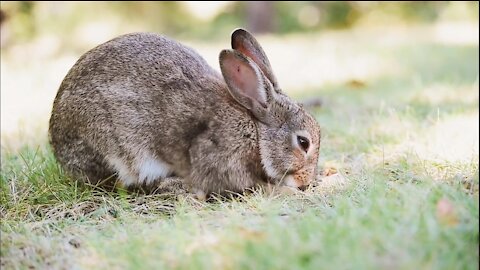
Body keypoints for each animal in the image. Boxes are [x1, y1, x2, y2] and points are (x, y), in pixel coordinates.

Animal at [47, 28, 322, 197]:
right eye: (303, 143)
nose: (305, 182)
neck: (255, 134)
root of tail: (56, 142)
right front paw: (284, 191)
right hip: (113, 149)